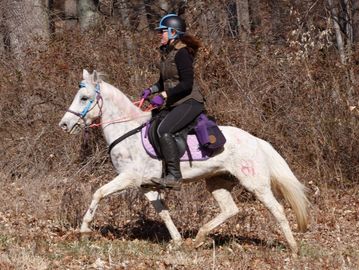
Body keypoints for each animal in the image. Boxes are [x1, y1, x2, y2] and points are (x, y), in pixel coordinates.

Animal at [59, 69, 310, 253]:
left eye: (84, 98)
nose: (64, 125)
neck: (127, 130)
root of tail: (257, 140)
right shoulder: (146, 186)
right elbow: (163, 212)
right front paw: (178, 240)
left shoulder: (129, 178)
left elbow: (98, 193)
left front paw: (84, 229)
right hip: (217, 182)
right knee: (230, 209)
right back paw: (198, 238)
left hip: (255, 183)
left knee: (276, 209)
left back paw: (293, 248)